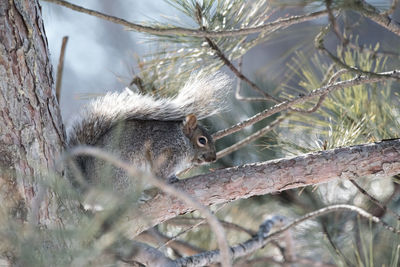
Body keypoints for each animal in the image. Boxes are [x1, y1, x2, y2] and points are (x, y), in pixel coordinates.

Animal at [66, 71, 231, 193]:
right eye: (202, 140)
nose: (214, 158)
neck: (183, 141)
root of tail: (89, 182)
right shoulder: (163, 148)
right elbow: (159, 171)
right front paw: (166, 180)